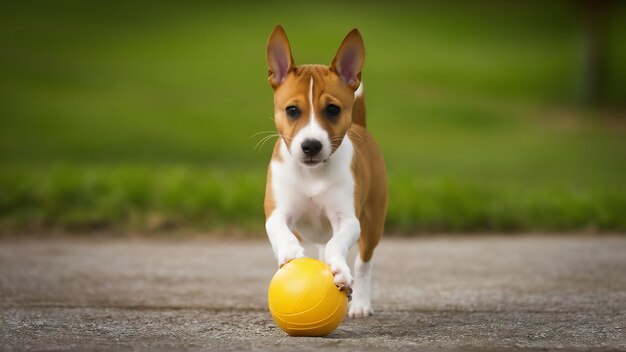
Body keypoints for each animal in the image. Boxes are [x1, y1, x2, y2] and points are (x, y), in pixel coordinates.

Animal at [262, 24, 386, 316]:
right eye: (292, 110)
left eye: (332, 109)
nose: (311, 145)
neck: (312, 175)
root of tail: (361, 126)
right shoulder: (277, 213)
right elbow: (282, 232)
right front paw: (291, 254)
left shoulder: (348, 220)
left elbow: (336, 245)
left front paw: (339, 269)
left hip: (373, 224)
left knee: (363, 264)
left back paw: (361, 303)